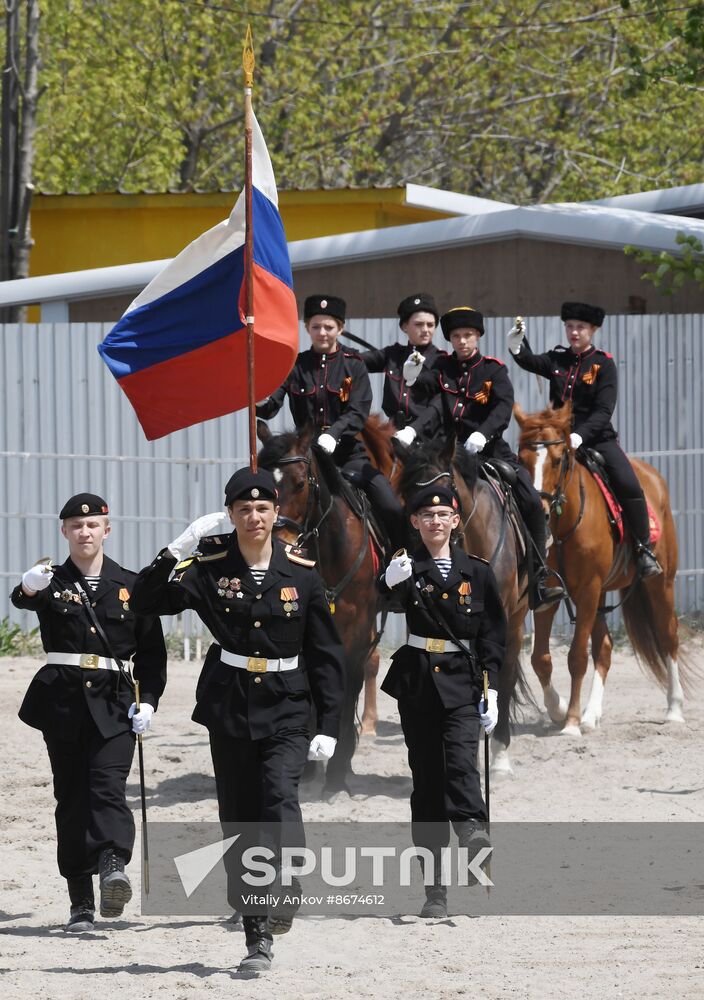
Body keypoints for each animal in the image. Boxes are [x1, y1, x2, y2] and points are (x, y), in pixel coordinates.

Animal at [256, 422, 382, 796]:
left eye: (300, 483)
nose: (278, 544)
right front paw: (307, 767)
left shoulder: (356, 633)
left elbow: (347, 688)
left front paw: (336, 772)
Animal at [516, 398, 684, 736]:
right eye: (520, 458)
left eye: (557, 460)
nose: (538, 510)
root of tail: (653, 477)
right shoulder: (551, 596)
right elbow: (541, 658)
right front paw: (558, 710)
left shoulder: (587, 591)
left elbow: (577, 657)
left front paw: (570, 723)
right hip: (601, 595)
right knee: (605, 649)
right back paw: (592, 714)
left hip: (660, 584)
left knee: (668, 636)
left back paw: (674, 710)